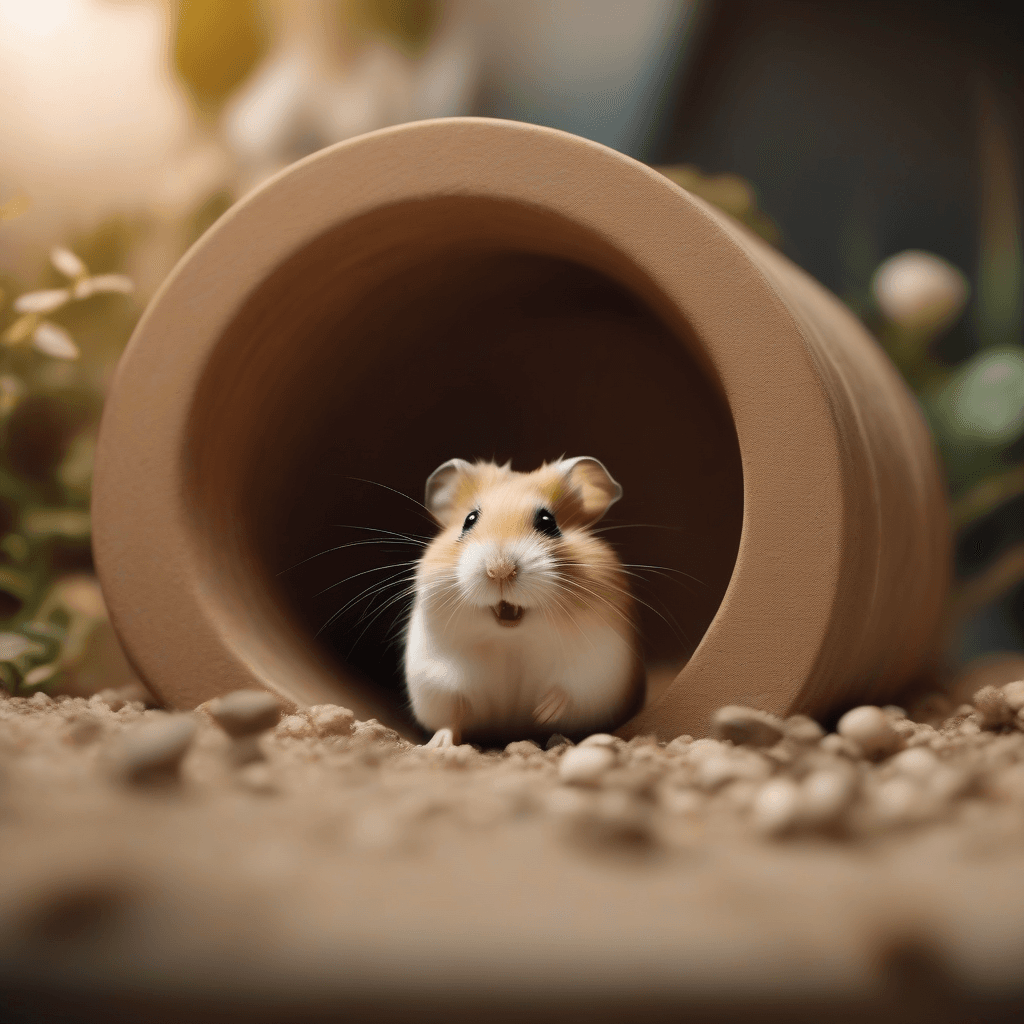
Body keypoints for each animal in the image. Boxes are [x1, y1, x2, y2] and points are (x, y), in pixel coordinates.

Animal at [404, 456, 645, 748]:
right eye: (469, 520)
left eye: (548, 522)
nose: (499, 570)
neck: (511, 637)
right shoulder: (439, 678)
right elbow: (455, 711)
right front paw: (438, 746)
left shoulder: (596, 667)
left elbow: (567, 691)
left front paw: (542, 713)